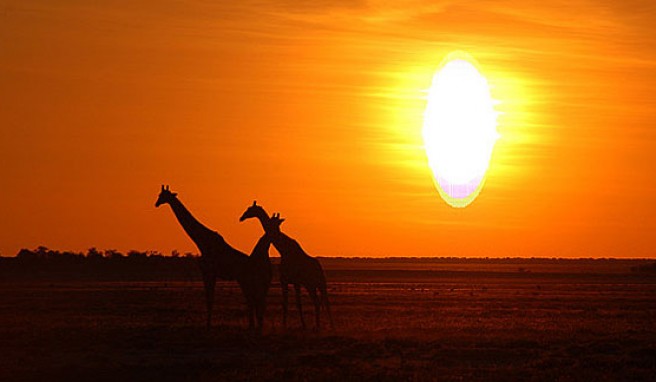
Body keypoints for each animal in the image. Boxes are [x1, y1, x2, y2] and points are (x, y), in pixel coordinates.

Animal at [155, 186, 272, 332]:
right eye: (159, 195)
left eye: (163, 196)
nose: (156, 203)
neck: (202, 242)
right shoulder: (211, 273)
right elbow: (210, 298)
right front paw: (208, 324)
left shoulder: (208, 272)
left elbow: (209, 299)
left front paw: (208, 326)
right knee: (255, 300)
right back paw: (254, 327)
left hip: (247, 281)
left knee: (255, 300)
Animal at [240, 201, 334, 330]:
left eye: (250, 209)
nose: (242, 217)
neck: (283, 251)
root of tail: (319, 267)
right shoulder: (284, 281)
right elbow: (286, 303)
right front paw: (285, 325)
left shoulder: (296, 281)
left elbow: (298, 303)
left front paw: (303, 325)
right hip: (310, 285)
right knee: (317, 302)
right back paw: (318, 325)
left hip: (320, 283)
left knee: (325, 302)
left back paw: (330, 326)